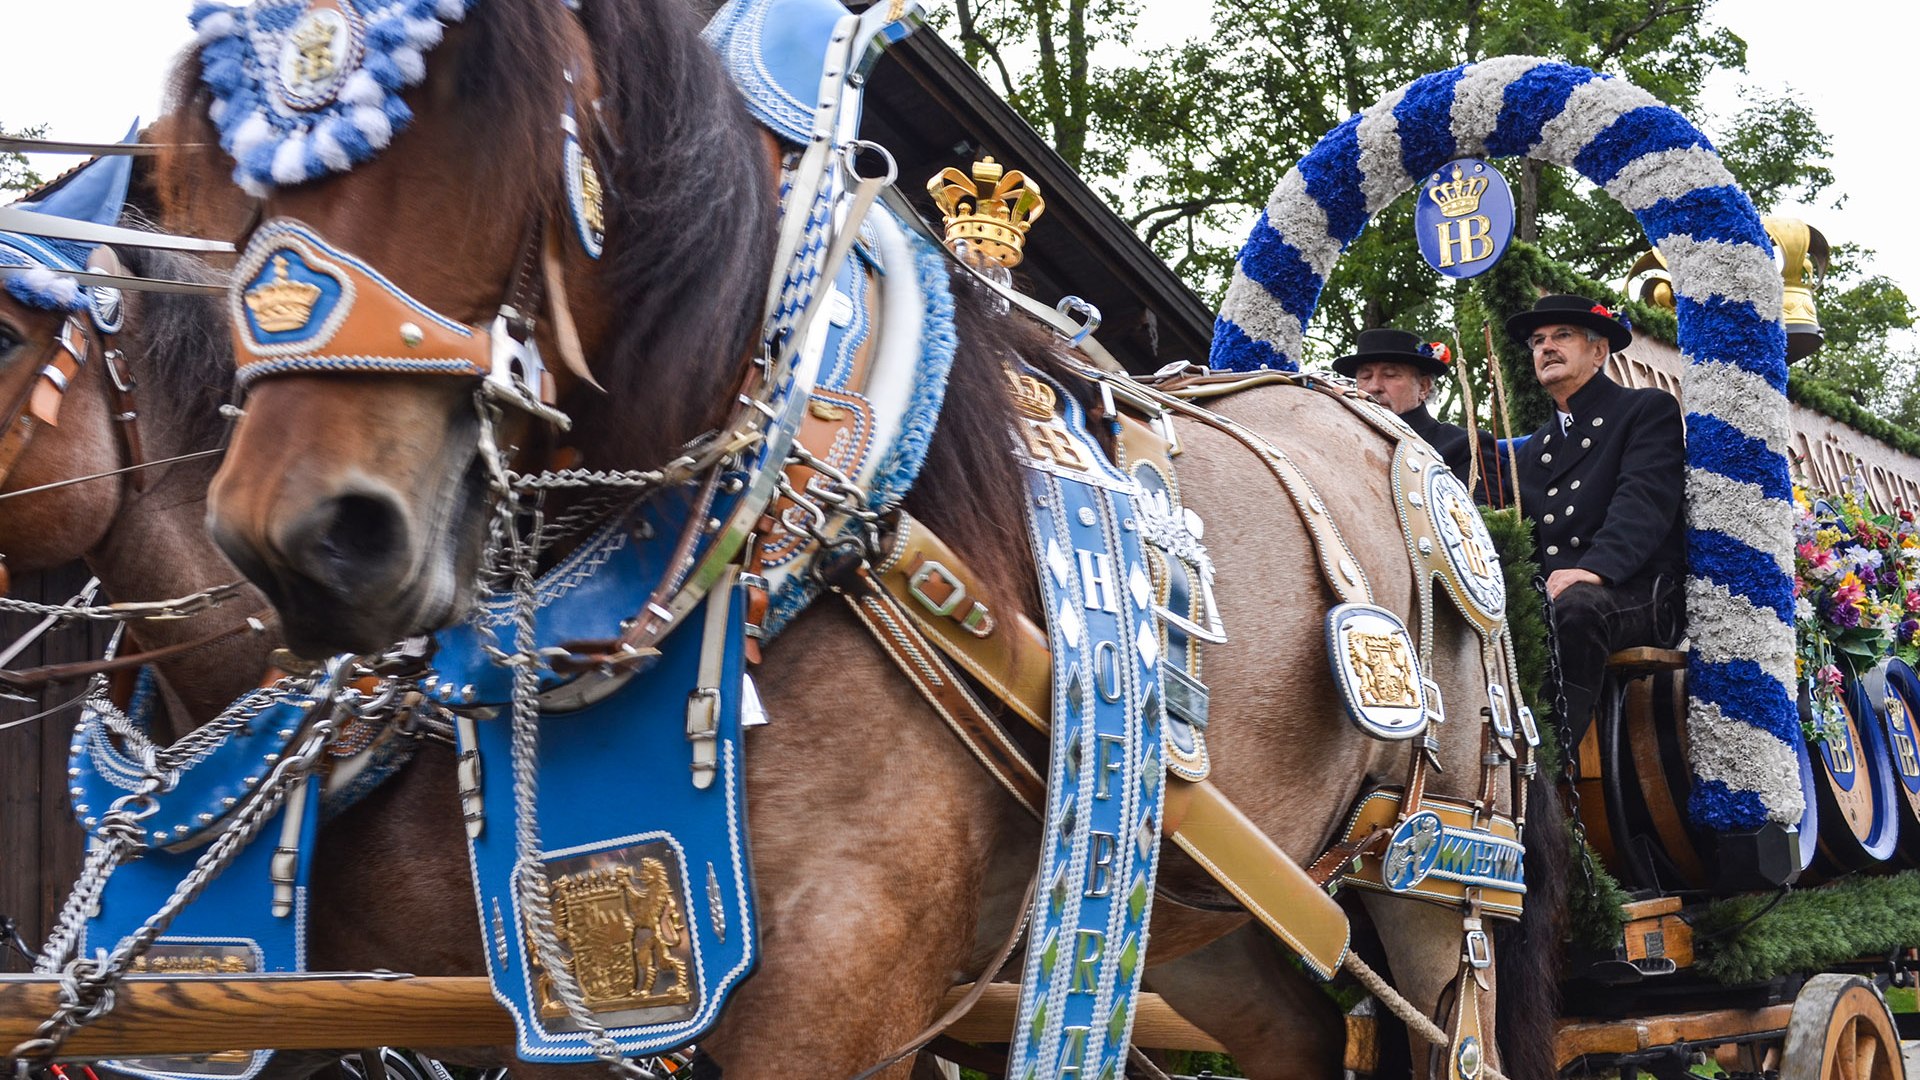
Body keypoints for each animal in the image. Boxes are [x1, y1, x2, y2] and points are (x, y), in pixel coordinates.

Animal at [157, 4, 1566, 1068]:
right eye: (206, 173)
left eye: (492, 125)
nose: (311, 538)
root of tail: (1389, 430)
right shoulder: (581, 981)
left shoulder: (842, 982)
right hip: (1209, 908)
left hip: (1439, 872)